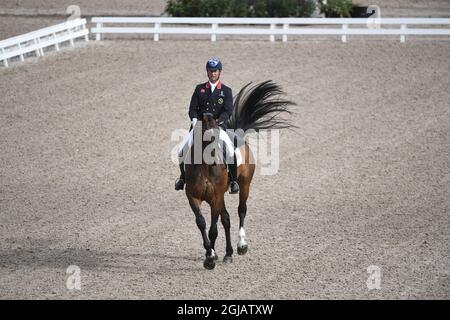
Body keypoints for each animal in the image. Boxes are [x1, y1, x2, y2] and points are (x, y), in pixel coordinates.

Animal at [182, 80, 296, 270]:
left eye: (216, 135)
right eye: (204, 136)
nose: (215, 161)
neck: (205, 168)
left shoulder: (215, 197)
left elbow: (213, 229)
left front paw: (211, 258)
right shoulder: (193, 196)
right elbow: (202, 223)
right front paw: (210, 255)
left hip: (244, 185)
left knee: (241, 210)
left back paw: (241, 245)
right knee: (226, 219)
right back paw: (227, 253)